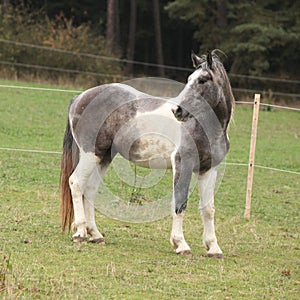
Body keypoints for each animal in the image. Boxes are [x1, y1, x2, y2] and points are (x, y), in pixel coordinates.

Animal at [60, 49, 234, 258]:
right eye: (190, 79)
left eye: (202, 80)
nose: (177, 110)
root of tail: (79, 97)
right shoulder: (182, 164)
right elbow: (180, 204)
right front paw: (181, 244)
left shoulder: (208, 169)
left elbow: (208, 209)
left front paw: (214, 248)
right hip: (90, 154)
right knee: (76, 182)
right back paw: (80, 232)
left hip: (104, 157)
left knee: (90, 189)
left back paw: (95, 235)